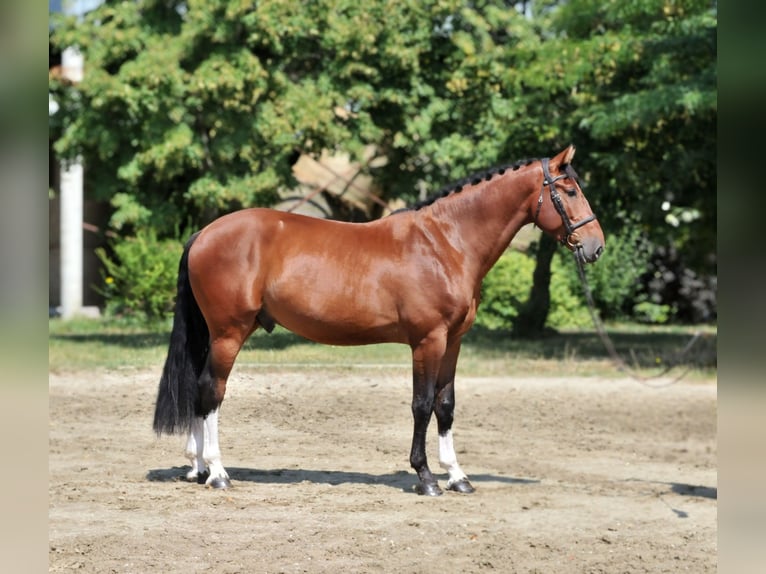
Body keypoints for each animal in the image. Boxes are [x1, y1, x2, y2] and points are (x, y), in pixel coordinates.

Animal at [152, 146, 608, 498]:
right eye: (569, 190)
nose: (595, 246)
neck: (445, 243)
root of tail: (204, 233)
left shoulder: (454, 341)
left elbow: (445, 405)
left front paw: (457, 476)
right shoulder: (428, 341)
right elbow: (422, 405)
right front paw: (426, 478)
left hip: (214, 335)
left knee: (198, 390)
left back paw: (197, 468)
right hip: (229, 334)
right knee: (211, 391)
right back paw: (218, 473)